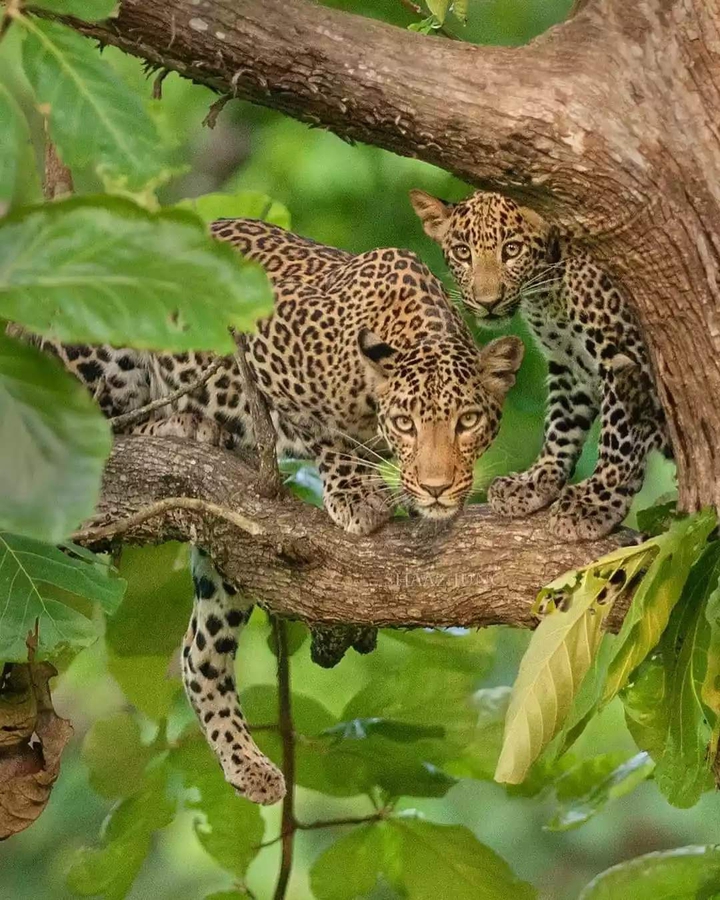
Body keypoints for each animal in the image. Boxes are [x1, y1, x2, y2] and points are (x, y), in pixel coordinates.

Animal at [29, 219, 523, 805]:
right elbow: (323, 430)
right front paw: (356, 492)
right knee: (96, 424)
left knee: (199, 654)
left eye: (468, 422)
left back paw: (249, 765)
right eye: (405, 423)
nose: (437, 487)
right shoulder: (259, 346)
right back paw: (181, 424)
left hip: (232, 557)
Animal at [410, 188, 668, 541]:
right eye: (463, 253)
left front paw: (595, 502)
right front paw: (533, 482)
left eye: (512, 249)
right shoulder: (568, 365)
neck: (548, 290)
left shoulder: (626, 354)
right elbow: (560, 425)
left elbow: (619, 434)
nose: (488, 302)